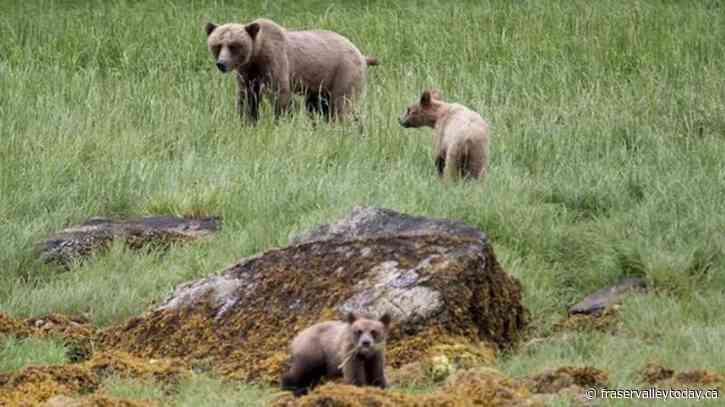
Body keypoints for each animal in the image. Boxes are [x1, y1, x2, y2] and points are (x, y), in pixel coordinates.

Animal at [205, 18, 377, 123]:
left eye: (234, 45)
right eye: (217, 45)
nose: (221, 63)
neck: (256, 55)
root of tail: (361, 54)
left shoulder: (275, 60)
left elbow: (280, 94)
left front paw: (281, 120)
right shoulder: (247, 73)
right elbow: (247, 97)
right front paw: (247, 121)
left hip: (344, 71)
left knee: (342, 104)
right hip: (320, 84)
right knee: (319, 107)